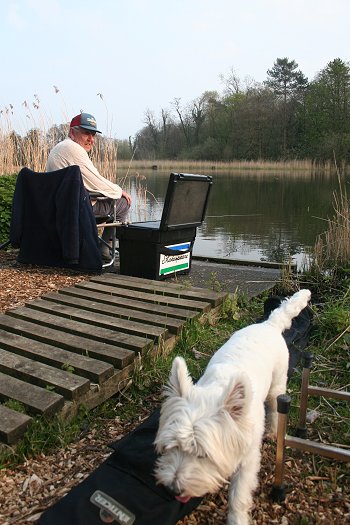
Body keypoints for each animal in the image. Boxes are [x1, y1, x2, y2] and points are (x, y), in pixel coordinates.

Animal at [154, 288, 310, 520]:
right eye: (172, 446)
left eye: (203, 455)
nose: (173, 489)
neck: (216, 390)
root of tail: (268, 324)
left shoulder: (249, 459)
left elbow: (239, 495)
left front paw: (237, 518)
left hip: (278, 383)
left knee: (276, 407)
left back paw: (273, 431)